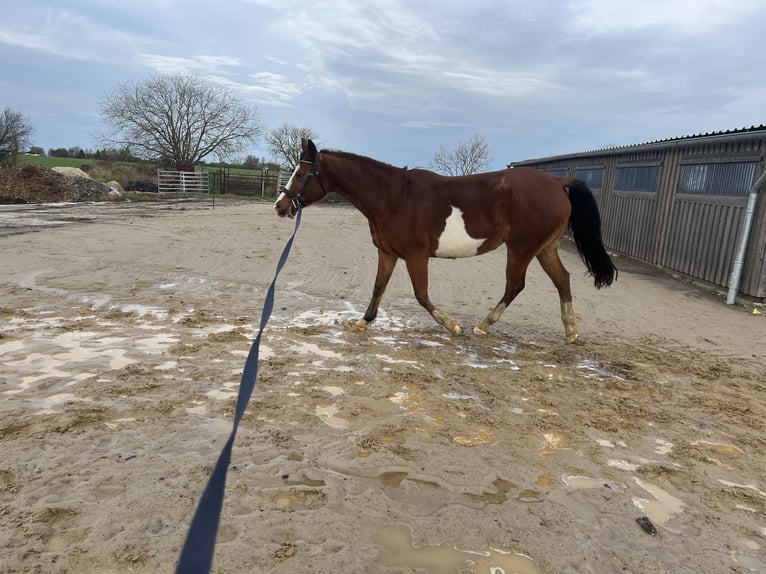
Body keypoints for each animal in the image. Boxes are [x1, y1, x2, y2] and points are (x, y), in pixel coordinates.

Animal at [276, 140, 616, 344]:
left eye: (301, 173)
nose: (281, 206)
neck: (393, 196)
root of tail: (558, 182)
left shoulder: (416, 256)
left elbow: (421, 295)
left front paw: (452, 325)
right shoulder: (388, 252)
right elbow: (378, 288)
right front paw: (362, 322)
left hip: (521, 249)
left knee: (515, 286)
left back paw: (483, 325)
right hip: (544, 248)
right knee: (563, 280)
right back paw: (570, 332)